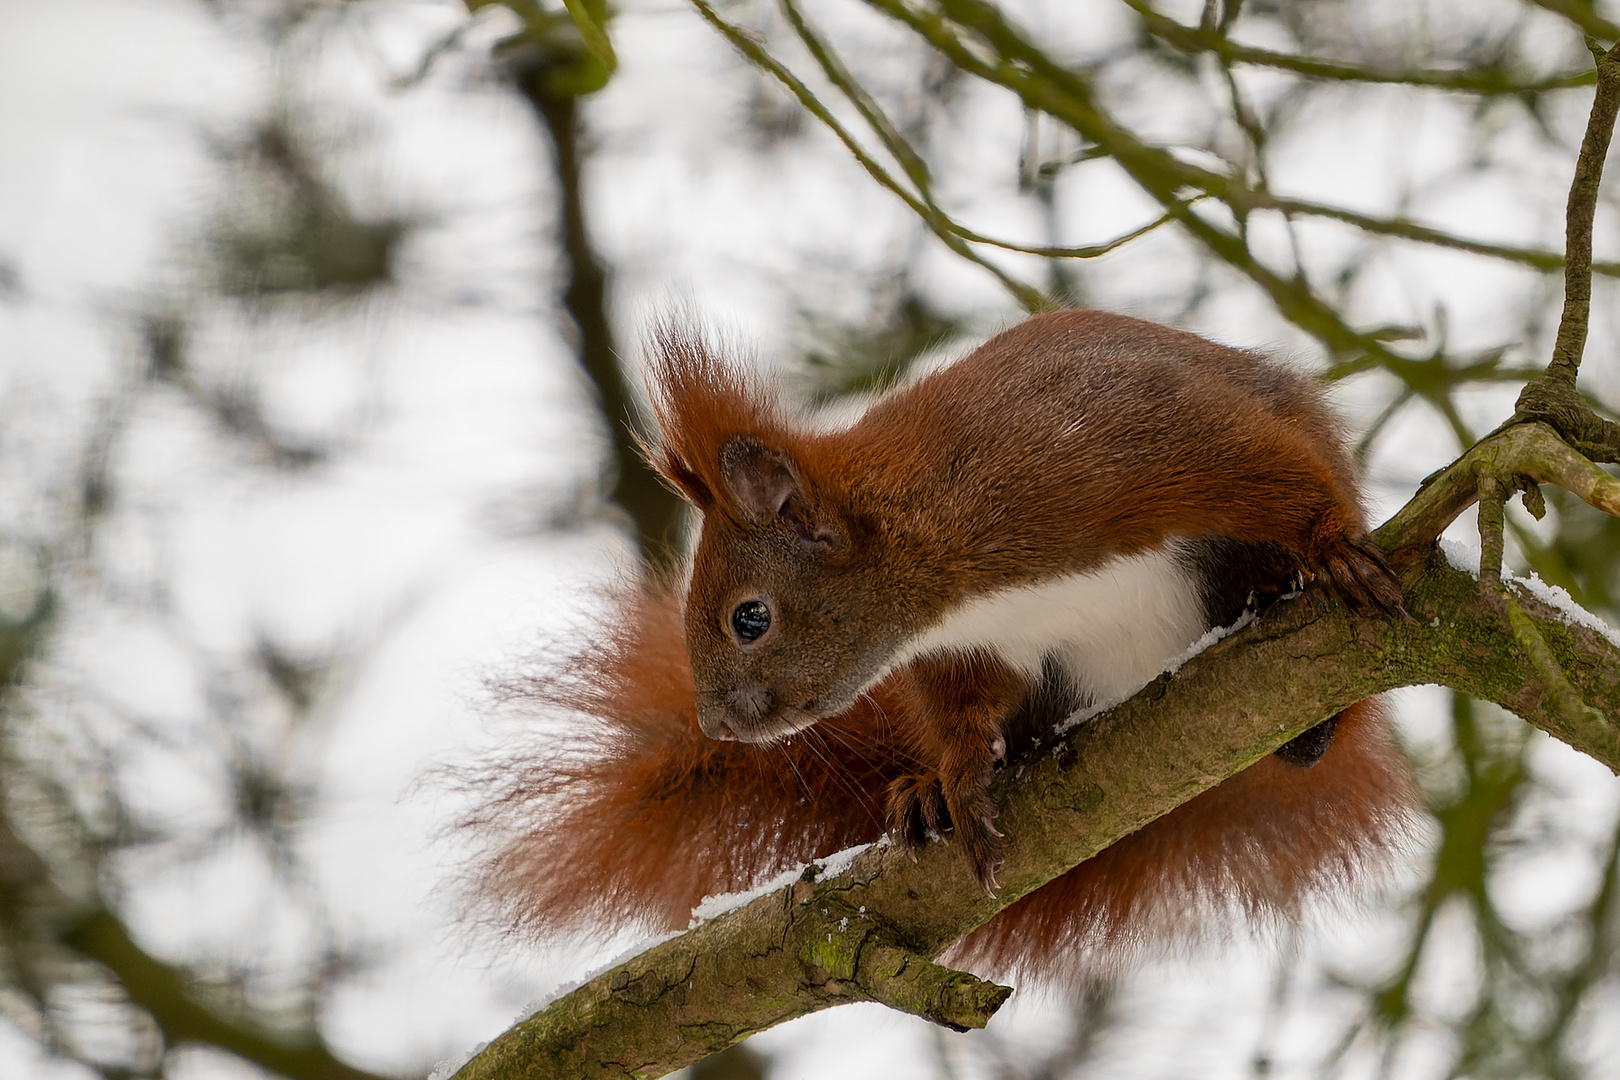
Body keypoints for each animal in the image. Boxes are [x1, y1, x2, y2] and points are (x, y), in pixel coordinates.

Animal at [469, 307, 1419, 977]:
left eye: (750, 618)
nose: (718, 726)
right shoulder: (974, 648)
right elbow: (966, 707)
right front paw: (954, 772)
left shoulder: (1114, 449)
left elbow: (1256, 464)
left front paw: (1331, 539)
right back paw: (935, 789)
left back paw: (1301, 689)